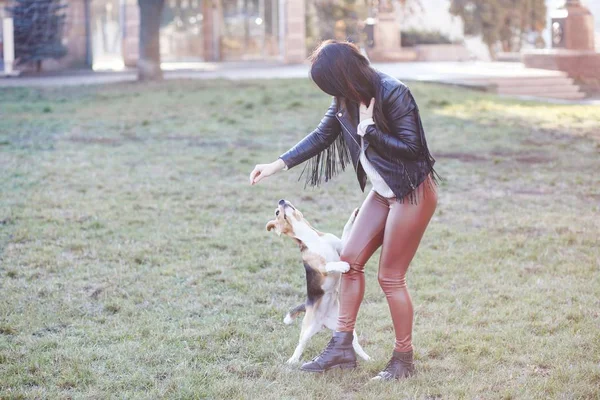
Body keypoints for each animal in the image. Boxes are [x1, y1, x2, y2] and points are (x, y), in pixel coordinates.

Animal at [268, 198, 370, 364]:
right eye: (277, 212)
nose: (281, 200)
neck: (312, 237)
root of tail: (323, 322)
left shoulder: (341, 246)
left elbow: (346, 229)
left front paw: (354, 215)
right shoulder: (322, 267)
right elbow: (330, 264)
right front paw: (342, 266)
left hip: (346, 327)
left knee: (355, 343)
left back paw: (367, 357)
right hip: (308, 328)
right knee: (300, 344)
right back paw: (292, 360)